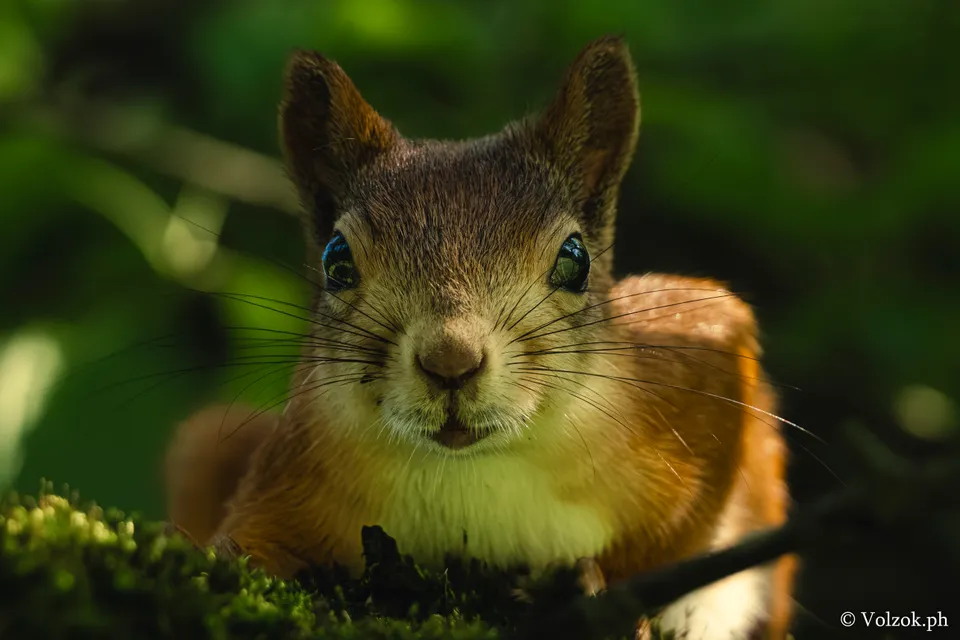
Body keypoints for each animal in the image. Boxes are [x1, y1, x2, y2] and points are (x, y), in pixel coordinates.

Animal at [163, 36, 795, 639]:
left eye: (575, 258)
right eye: (336, 260)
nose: (451, 360)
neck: (472, 476)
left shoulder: (704, 357)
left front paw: (607, 585)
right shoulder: (286, 478)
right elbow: (244, 543)